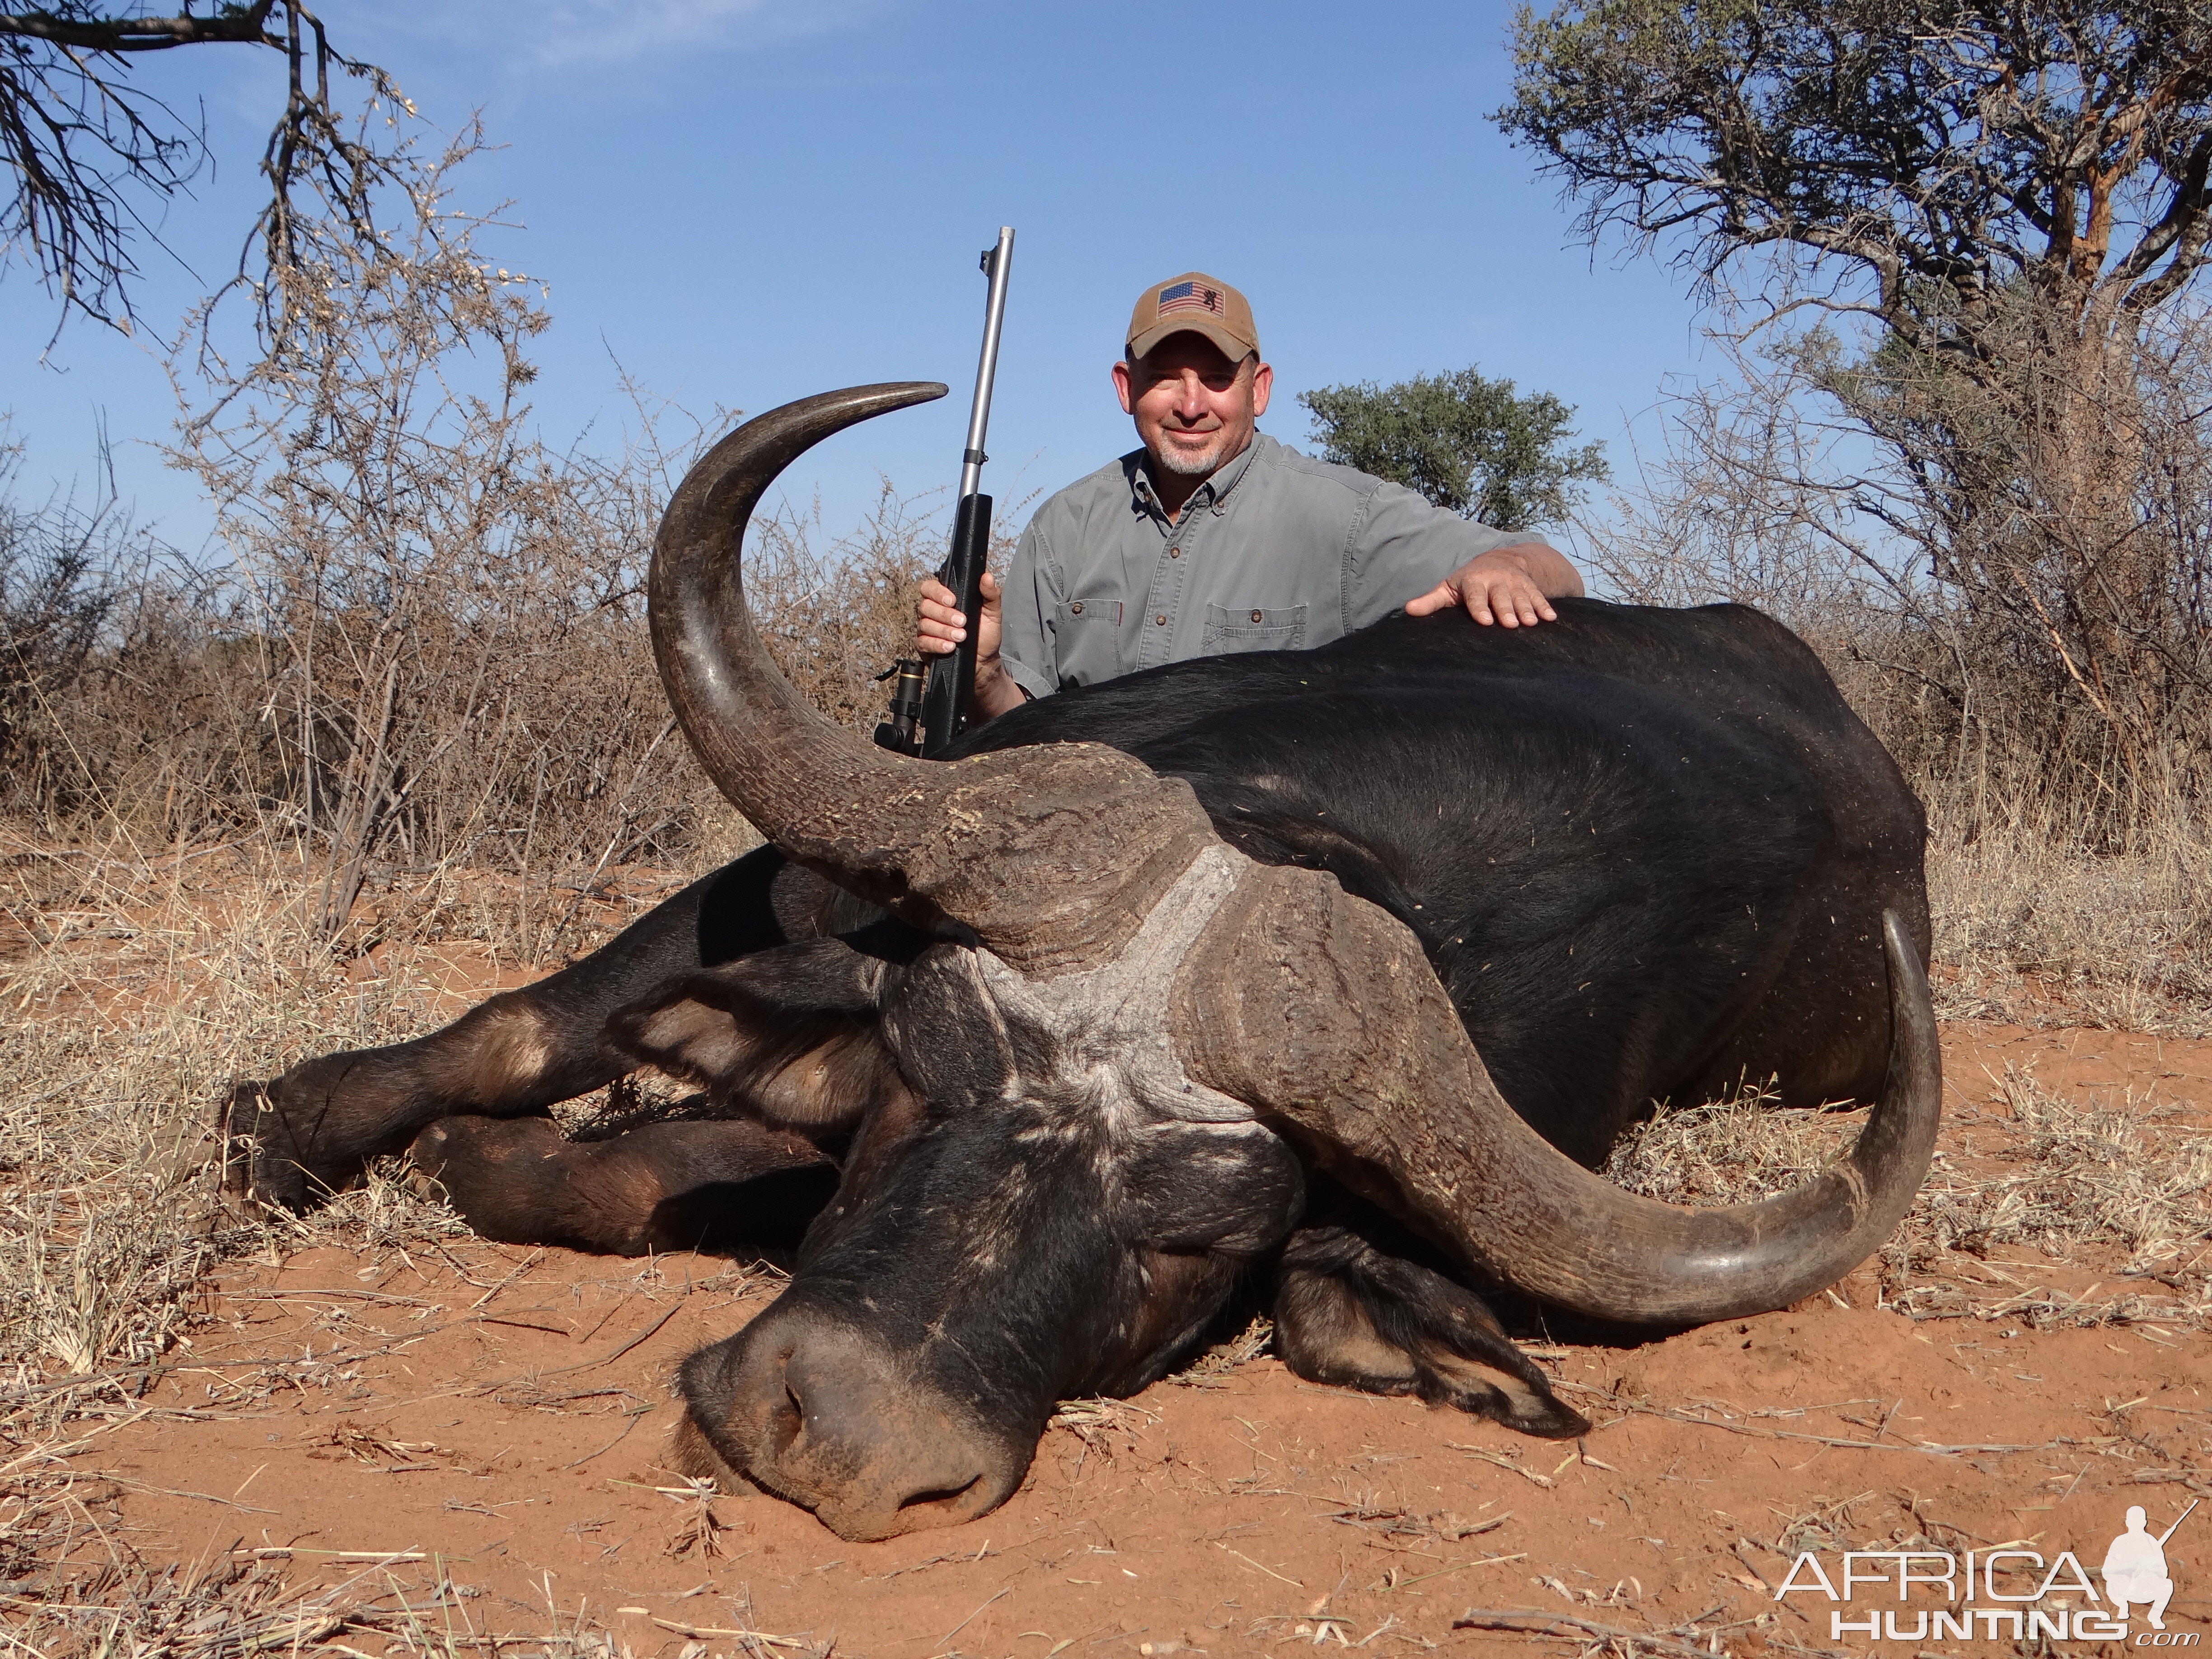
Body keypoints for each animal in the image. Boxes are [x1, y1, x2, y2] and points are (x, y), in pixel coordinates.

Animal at [224, 380, 1946, 1548]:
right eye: (925, 1094)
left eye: (1188, 1245)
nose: (840, 1433)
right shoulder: (809, 878)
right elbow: (530, 1033)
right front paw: (287, 1125)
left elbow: (639, 1169)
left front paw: (501, 1160)